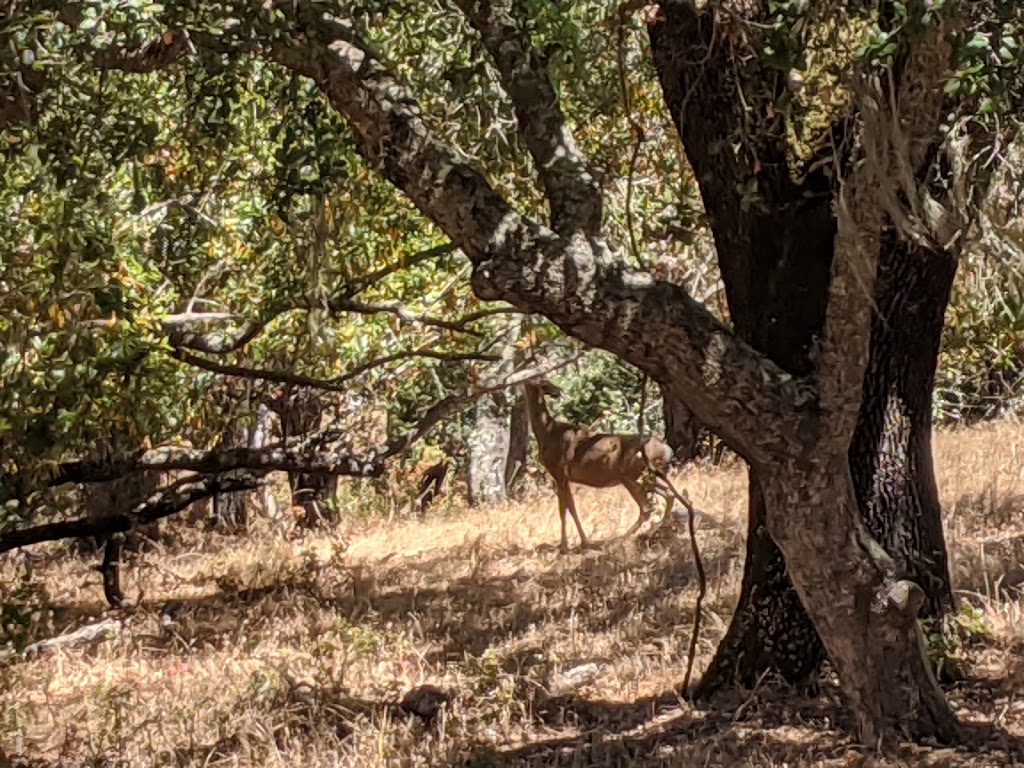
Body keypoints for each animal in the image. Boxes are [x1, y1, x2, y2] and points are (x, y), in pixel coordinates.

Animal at [524, 374, 675, 548]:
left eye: (544, 379)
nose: (558, 391)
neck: (547, 433)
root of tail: (666, 450)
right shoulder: (566, 477)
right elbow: (572, 507)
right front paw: (584, 541)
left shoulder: (559, 472)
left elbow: (562, 509)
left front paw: (563, 546)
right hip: (647, 476)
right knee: (668, 495)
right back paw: (653, 529)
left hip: (632, 476)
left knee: (648, 506)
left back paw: (623, 537)